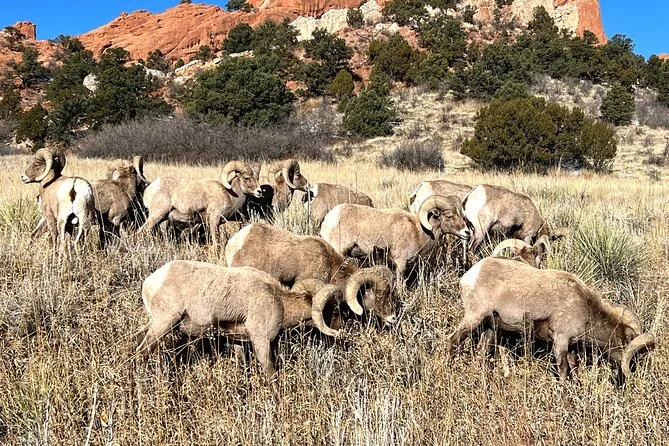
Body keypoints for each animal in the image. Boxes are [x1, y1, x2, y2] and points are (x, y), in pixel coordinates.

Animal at [135, 260, 345, 378]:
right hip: (163, 324)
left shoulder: (239, 342)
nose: (341, 332)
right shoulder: (261, 342)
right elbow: (271, 373)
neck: (278, 301)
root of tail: (151, 281)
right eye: (334, 310)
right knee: (141, 352)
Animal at [447, 257, 656, 379]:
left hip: (490, 328)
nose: (636, 372)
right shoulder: (560, 342)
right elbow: (564, 372)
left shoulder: (571, 347)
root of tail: (469, 275)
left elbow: (575, 371)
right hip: (474, 318)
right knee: (453, 340)